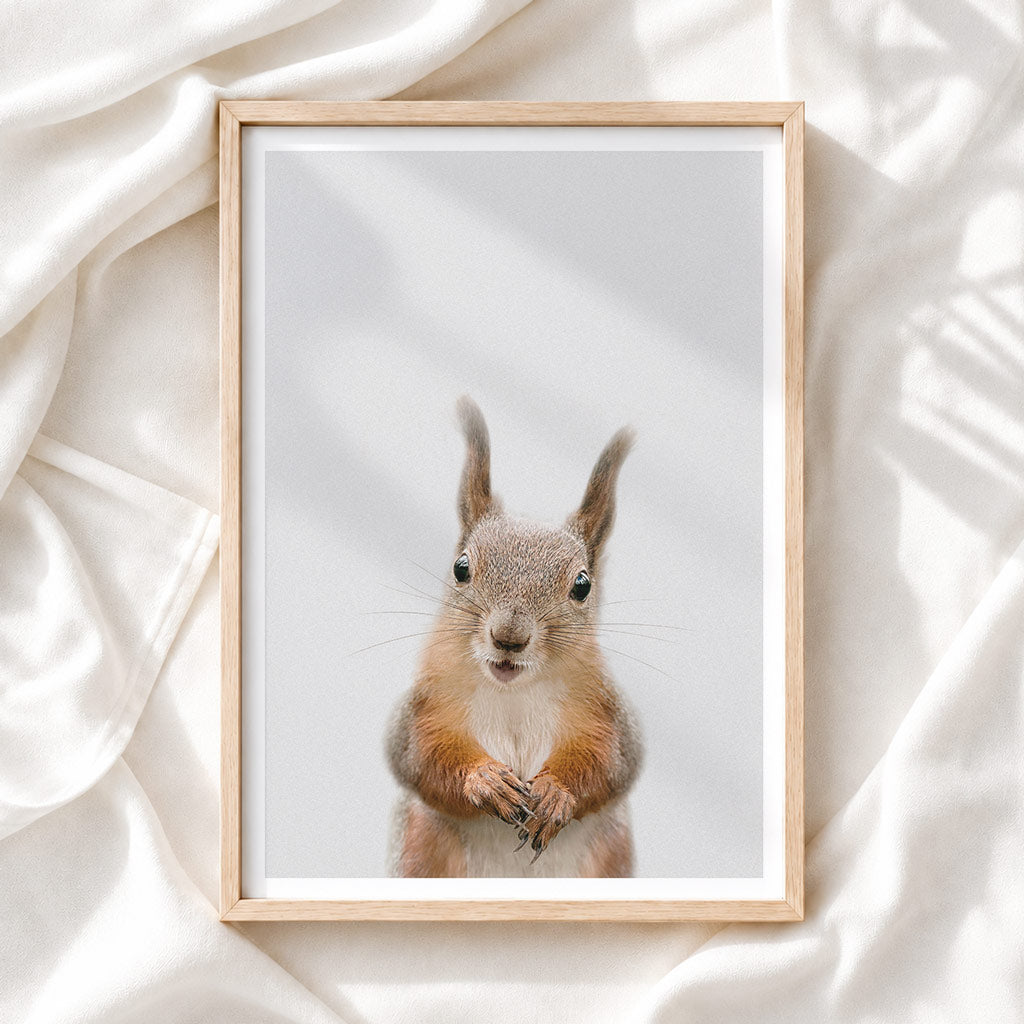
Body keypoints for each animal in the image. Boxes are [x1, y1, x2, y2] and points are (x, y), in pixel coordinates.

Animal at [386, 397, 642, 878]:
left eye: (582, 586)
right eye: (461, 568)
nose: (509, 637)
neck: (514, 694)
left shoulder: (607, 714)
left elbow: (611, 763)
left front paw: (556, 793)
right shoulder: (424, 707)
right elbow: (418, 756)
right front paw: (485, 781)